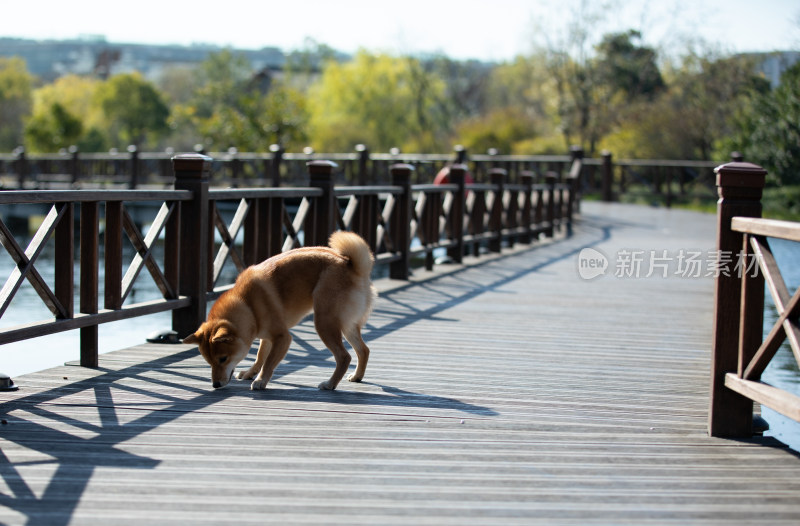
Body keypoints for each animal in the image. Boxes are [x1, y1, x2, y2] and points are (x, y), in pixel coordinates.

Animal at [184, 232, 378, 392]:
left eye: (223, 359)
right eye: (209, 361)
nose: (215, 385)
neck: (247, 304)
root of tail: (352, 266)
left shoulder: (282, 338)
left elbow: (269, 362)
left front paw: (261, 381)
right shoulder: (267, 337)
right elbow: (260, 356)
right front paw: (250, 373)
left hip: (324, 323)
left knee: (344, 357)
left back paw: (330, 384)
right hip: (347, 326)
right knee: (364, 350)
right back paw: (357, 376)